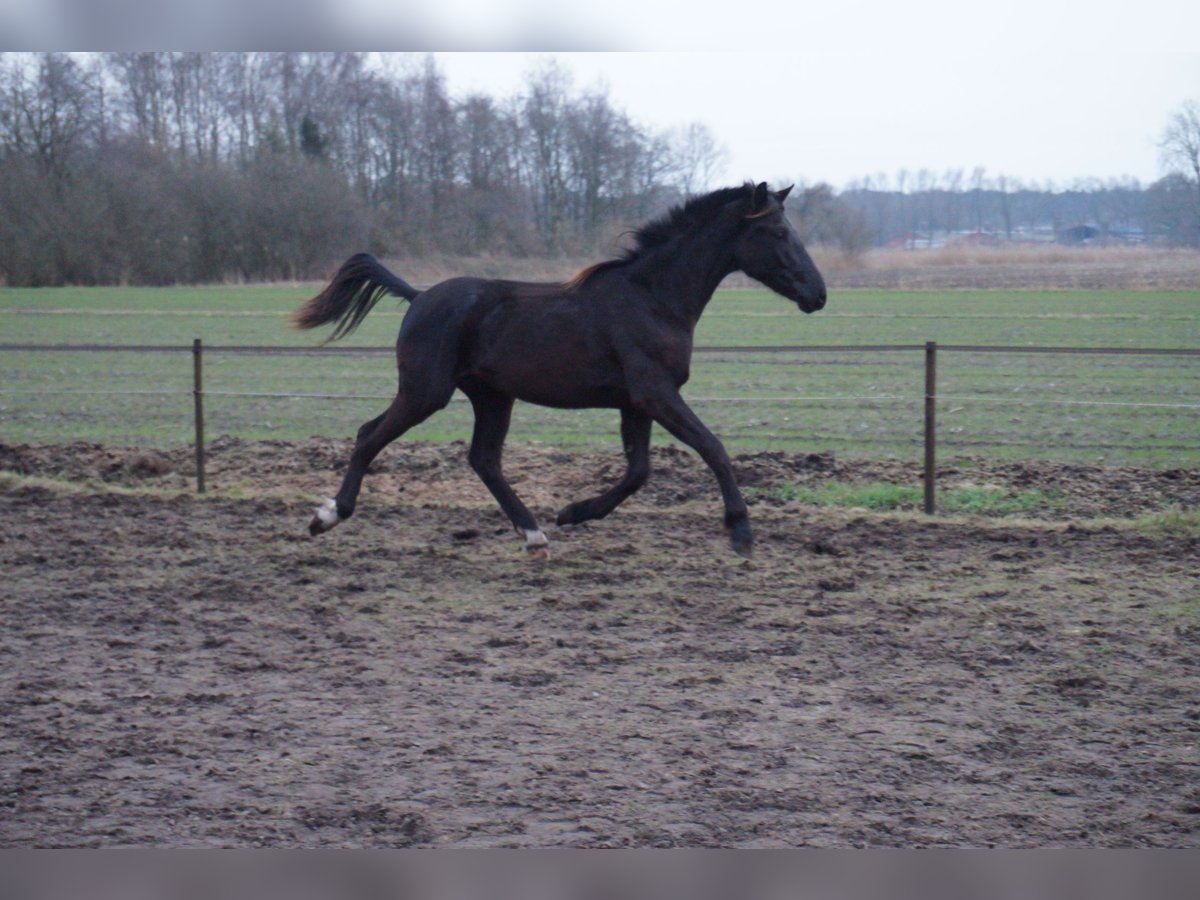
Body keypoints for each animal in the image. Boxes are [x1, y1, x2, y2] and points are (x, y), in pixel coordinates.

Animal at [295, 184, 830, 556]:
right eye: (779, 233)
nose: (819, 294)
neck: (652, 299)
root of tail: (419, 295)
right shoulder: (655, 393)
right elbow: (712, 448)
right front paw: (741, 531)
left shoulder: (636, 403)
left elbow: (638, 470)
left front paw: (573, 513)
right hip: (426, 391)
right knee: (370, 435)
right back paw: (327, 516)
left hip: (492, 396)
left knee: (483, 459)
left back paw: (534, 534)